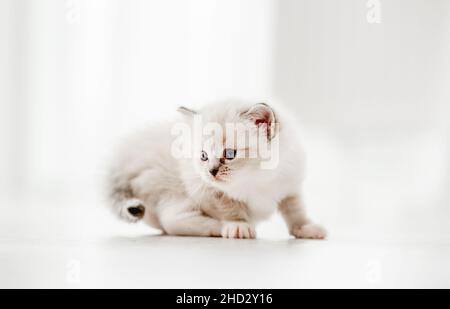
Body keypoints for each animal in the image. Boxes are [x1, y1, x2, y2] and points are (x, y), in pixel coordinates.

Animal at [109, 100, 326, 238]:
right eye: (203, 156)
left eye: (229, 154)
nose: (211, 172)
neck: (256, 179)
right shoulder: (209, 190)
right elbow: (229, 208)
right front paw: (238, 226)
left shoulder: (289, 185)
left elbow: (296, 211)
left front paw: (306, 228)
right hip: (174, 193)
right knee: (171, 222)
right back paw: (218, 228)